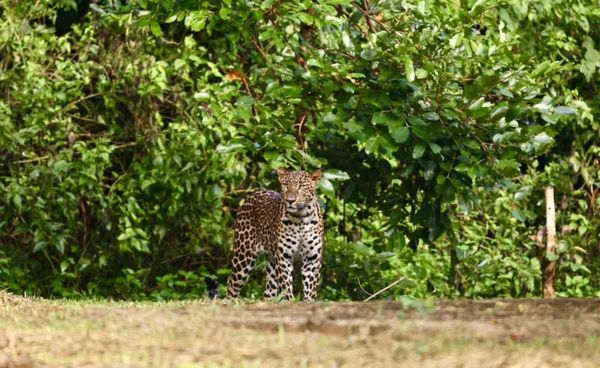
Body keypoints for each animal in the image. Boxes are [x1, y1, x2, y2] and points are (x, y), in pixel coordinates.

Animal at [227, 168, 324, 300]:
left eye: (301, 186)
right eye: (286, 185)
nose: (290, 200)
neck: (301, 218)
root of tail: (254, 193)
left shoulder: (312, 259)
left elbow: (311, 289)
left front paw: (309, 302)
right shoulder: (284, 257)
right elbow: (286, 287)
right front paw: (290, 302)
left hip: (272, 262)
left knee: (269, 292)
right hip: (243, 257)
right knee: (232, 285)